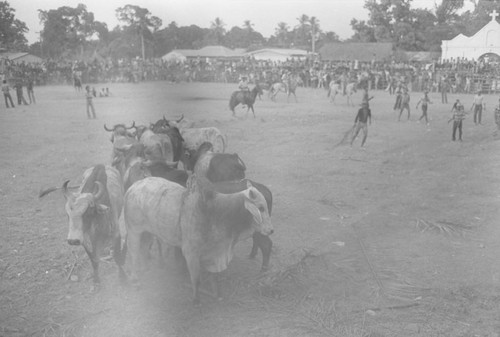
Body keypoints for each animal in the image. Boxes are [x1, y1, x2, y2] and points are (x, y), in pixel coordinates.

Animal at [124, 175, 274, 304]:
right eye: (260, 208)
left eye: (265, 207)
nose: (271, 230)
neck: (217, 211)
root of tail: (133, 187)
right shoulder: (191, 253)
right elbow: (196, 279)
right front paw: (196, 300)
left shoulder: (215, 253)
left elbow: (215, 277)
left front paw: (217, 294)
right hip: (134, 230)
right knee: (133, 254)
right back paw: (135, 280)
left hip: (147, 232)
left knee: (144, 248)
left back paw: (145, 269)